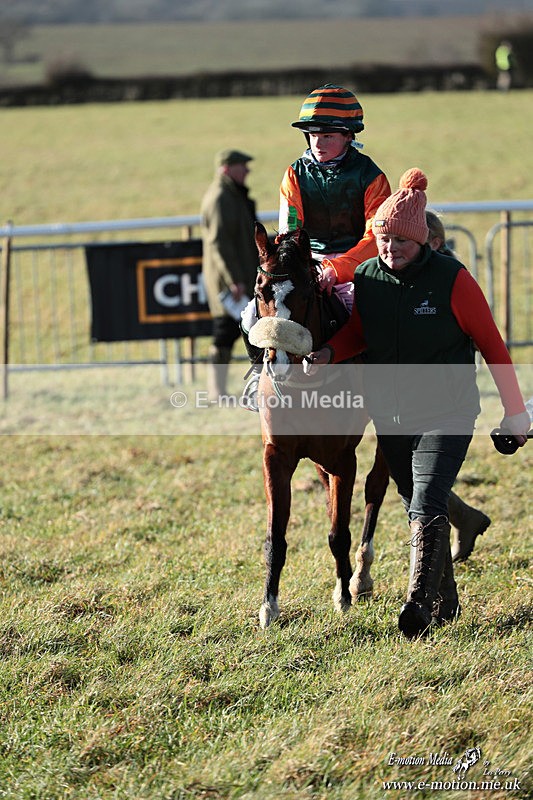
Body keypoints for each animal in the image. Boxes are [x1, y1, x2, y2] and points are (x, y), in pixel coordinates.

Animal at [249, 221, 389, 628]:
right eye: (261, 291)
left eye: (307, 292)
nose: (278, 360)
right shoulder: (277, 455)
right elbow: (276, 537)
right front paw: (269, 606)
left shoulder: (343, 457)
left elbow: (338, 531)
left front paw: (343, 596)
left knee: (376, 486)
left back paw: (360, 577)